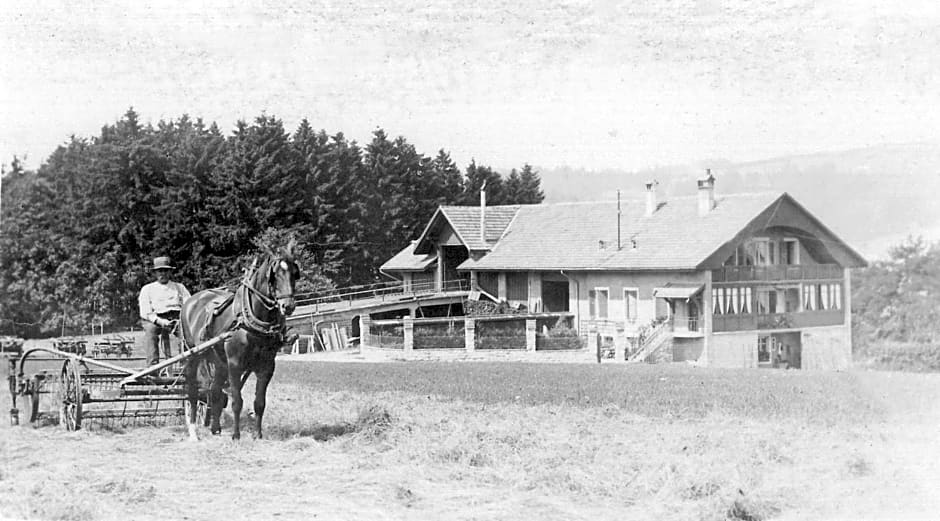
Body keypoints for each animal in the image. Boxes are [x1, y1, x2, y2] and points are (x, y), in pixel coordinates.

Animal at [180, 240, 302, 438]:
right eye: (274, 275)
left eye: (294, 273)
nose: (288, 306)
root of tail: (191, 300)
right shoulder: (235, 365)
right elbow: (237, 401)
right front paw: (236, 435)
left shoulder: (267, 366)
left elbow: (259, 403)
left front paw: (258, 435)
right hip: (193, 355)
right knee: (192, 391)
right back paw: (193, 431)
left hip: (219, 362)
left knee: (215, 391)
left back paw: (215, 428)